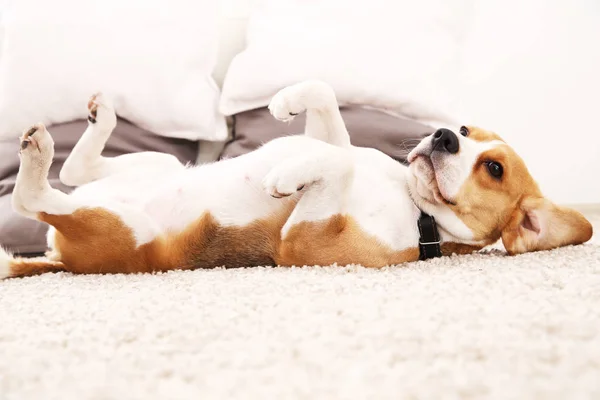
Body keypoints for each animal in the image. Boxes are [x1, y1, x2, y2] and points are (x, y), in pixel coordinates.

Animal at [0, 79, 592, 276]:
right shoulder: (336, 139)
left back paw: (37, 153)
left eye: (494, 169)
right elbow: (329, 115)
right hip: (159, 165)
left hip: (126, 231)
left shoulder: (301, 244)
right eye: (467, 130)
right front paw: (286, 101)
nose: (444, 135)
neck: (411, 201)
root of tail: (58, 255)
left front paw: (286, 175)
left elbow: (339, 160)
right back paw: (98, 120)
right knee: (76, 169)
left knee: (34, 196)